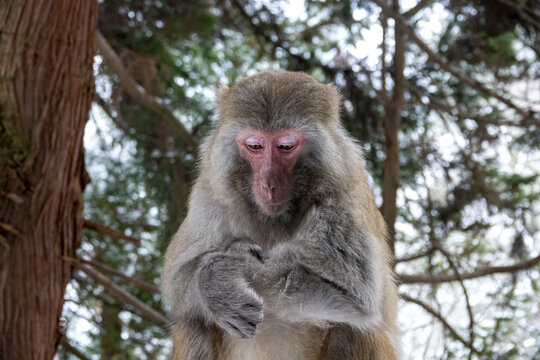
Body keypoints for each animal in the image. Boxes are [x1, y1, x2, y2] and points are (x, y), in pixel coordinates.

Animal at [162, 71, 398, 360]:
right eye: (255, 145)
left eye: (286, 146)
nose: (269, 184)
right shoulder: (211, 193)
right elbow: (177, 278)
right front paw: (215, 281)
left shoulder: (343, 191)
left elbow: (350, 290)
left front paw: (223, 275)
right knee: (193, 321)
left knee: (354, 326)